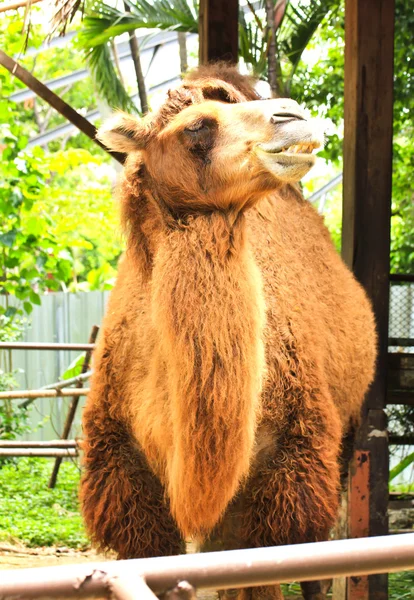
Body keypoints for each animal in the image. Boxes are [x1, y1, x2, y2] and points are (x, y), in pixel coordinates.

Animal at [81, 65, 378, 600]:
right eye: (197, 126)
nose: (292, 115)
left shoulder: (286, 470)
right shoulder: (127, 485)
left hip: (340, 438)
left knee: (319, 559)